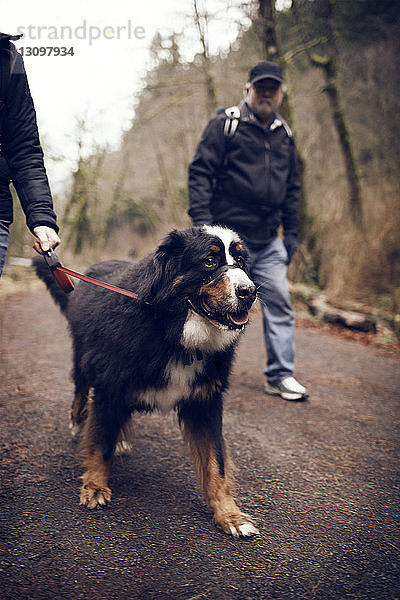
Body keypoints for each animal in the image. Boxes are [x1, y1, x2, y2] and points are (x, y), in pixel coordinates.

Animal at [34, 225, 260, 536]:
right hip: (84, 358)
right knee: (81, 391)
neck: (177, 335)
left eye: (240, 261)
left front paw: (230, 515)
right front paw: (95, 486)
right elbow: (100, 443)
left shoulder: (205, 401)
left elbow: (217, 464)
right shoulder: (111, 385)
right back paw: (79, 419)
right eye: (209, 261)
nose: (249, 292)